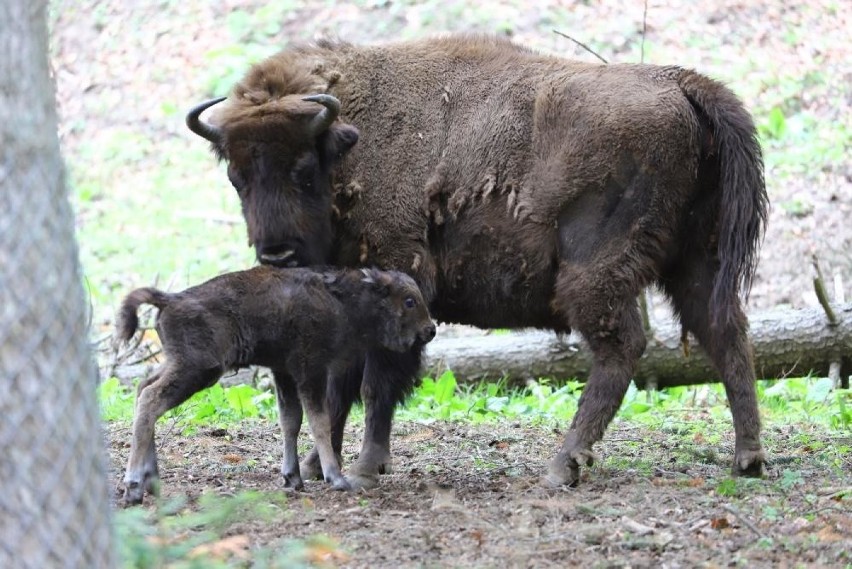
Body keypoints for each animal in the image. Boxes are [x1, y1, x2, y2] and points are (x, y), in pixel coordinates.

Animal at [116, 264, 436, 504]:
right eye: (409, 300)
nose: (430, 329)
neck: (344, 300)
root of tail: (169, 299)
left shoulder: (284, 373)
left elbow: (290, 422)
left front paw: (292, 478)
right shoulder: (311, 372)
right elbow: (319, 423)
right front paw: (336, 478)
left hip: (177, 365)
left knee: (142, 390)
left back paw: (151, 483)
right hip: (196, 371)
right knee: (150, 400)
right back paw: (133, 487)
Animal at [188, 35, 772, 488]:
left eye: (304, 170)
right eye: (237, 175)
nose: (277, 254)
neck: (351, 138)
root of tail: (682, 83)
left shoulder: (401, 282)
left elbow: (377, 382)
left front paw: (365, 468)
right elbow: (339, 390)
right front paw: (317, 464)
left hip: (596, 274)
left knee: (622, 347)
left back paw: (563, 466)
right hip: (697, 262)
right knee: (725, 333)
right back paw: (747, 458)